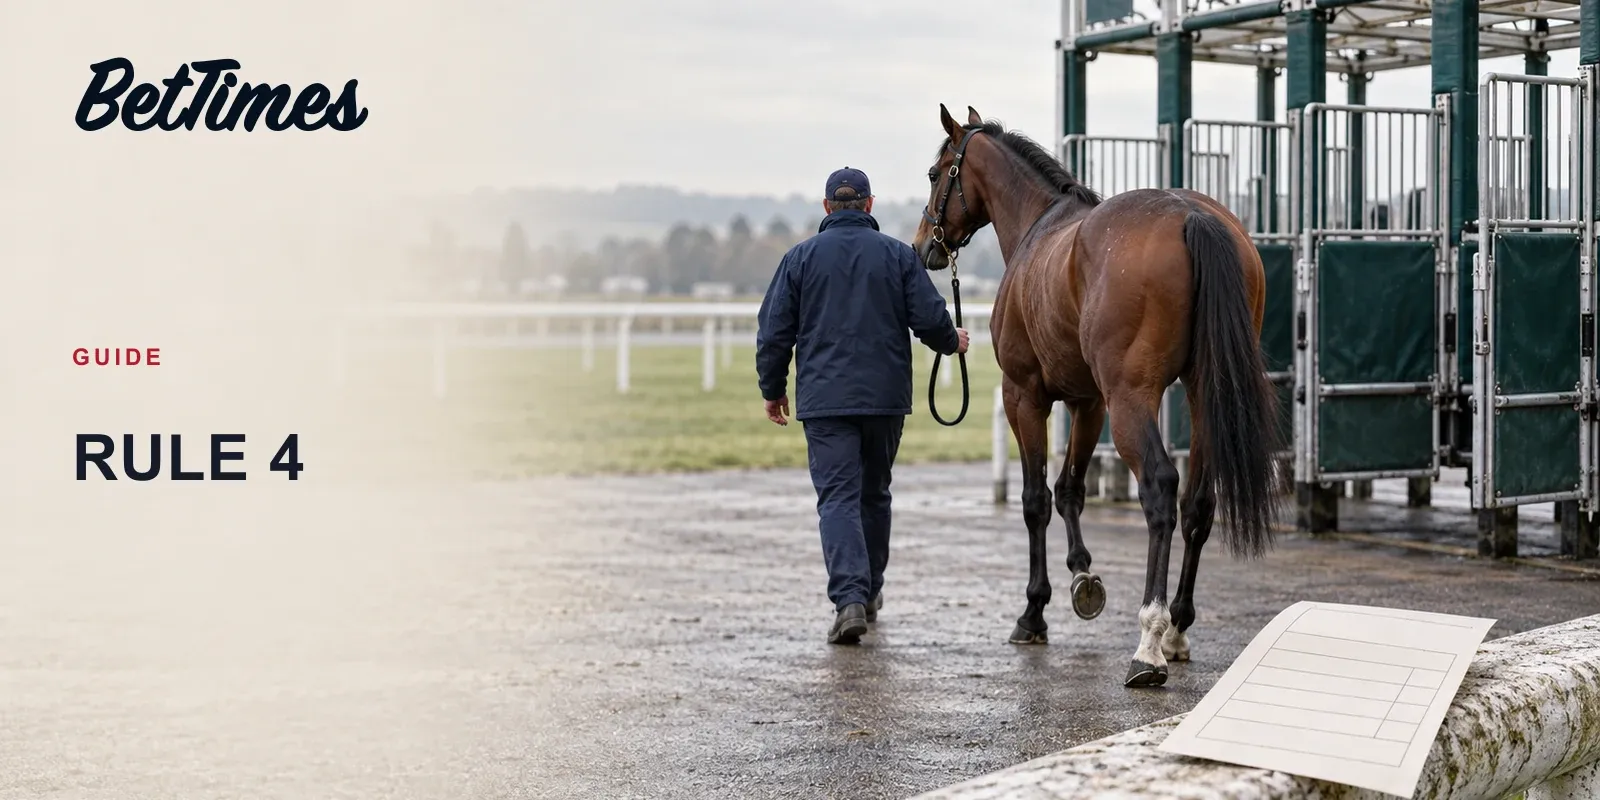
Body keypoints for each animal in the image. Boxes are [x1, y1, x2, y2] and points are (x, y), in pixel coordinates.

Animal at [913, 104, 1282, 688]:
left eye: (935, 173)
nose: (923, 245)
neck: (1039, 228)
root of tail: (1190, 216)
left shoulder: (1026, 397)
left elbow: (1036, 500)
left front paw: (1033, 611)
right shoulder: (1089, 402)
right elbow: (1070, 490)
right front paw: (1083, 577)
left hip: (1132, 400)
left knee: (1160, 489)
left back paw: (1149, 642)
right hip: (1201, 393)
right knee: (1198, 503)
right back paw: (1177, 628)